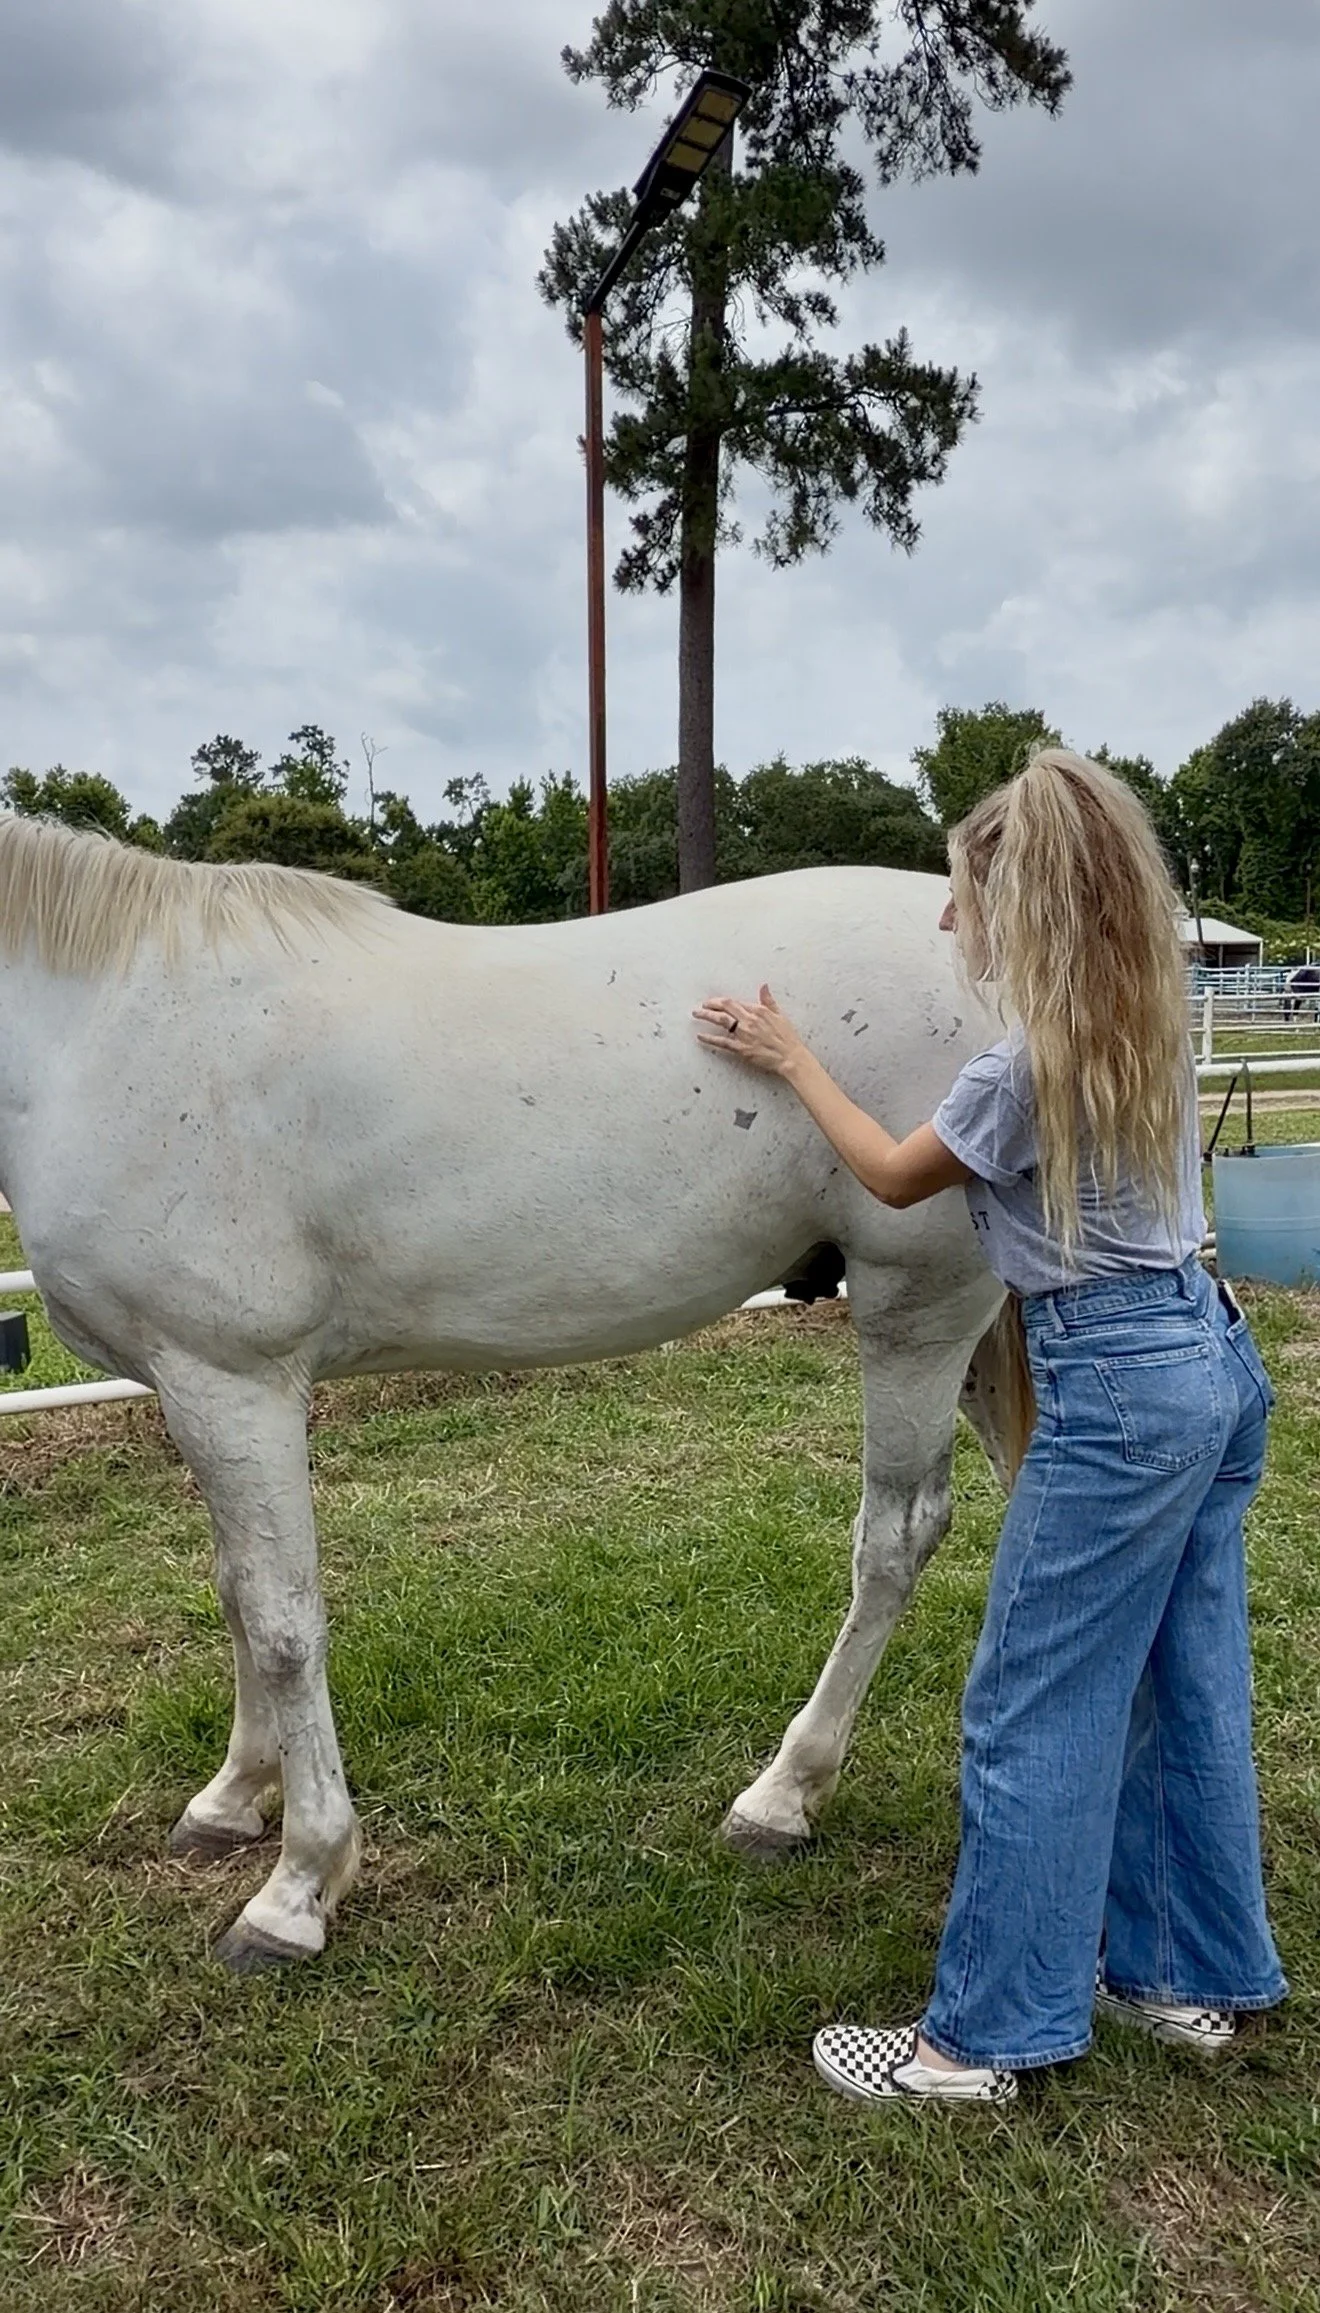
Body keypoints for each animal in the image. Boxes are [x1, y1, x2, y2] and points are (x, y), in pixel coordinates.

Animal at [0, 814, 1022, 1971]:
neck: (105, 1027)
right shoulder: (199, 1392)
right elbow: (235, 1594)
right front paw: (230, 1801)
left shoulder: (233, 1381)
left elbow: (281, 1621)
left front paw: (299, 1885)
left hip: (916, 1309)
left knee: (896, 1538)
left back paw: (782, 1796)